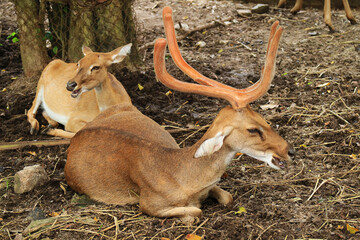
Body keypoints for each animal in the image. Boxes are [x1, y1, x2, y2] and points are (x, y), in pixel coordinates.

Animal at [64, 6, 296, 224]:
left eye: (263, 119)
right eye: (253, 129)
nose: (290, 151)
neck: (183, 178)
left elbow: (227, 197)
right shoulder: (148, 203)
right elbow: (196, 211)